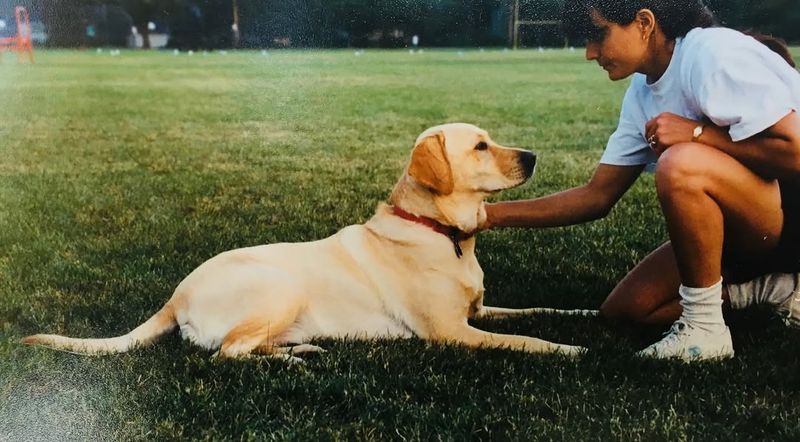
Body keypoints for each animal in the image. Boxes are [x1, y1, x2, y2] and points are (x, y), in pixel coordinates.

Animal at [21, 122, 592, 360]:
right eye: (480, 146)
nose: (534, 156)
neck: (444, 233)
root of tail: (175, 295)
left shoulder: (480, 311)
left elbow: (537, 311)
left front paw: (585, 317)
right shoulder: (453, 333)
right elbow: (528, 340)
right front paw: (573, 349)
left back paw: (300, 347)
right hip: (281, 286)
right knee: (226, 354)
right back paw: (289, 360)